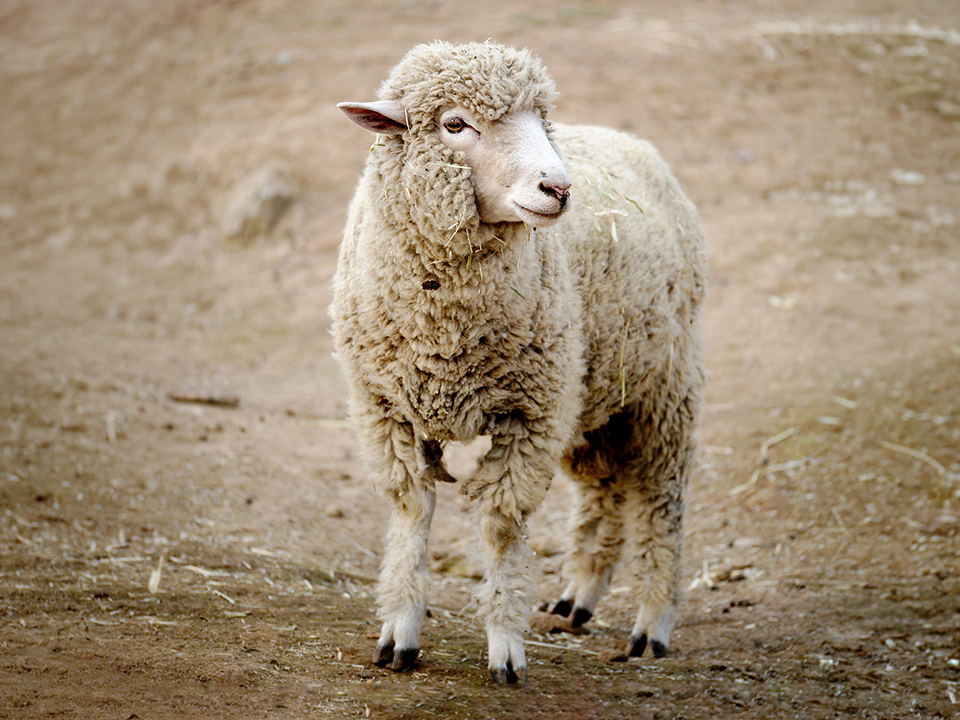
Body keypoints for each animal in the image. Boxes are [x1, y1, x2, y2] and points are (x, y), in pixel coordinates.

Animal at [331, 40, 706, 684]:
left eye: (540, 121)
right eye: (456, 124)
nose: (558, 188)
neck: (446, 334)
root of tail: (629, 140)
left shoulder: (530, 417)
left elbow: (503, 526)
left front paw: (506, 648)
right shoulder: (386, 409)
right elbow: (411, 512)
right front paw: (399, 633)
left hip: (661, 390)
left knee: (661, 501)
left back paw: (651, 625)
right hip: (592, 394)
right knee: (605, 489)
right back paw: (579, 595)